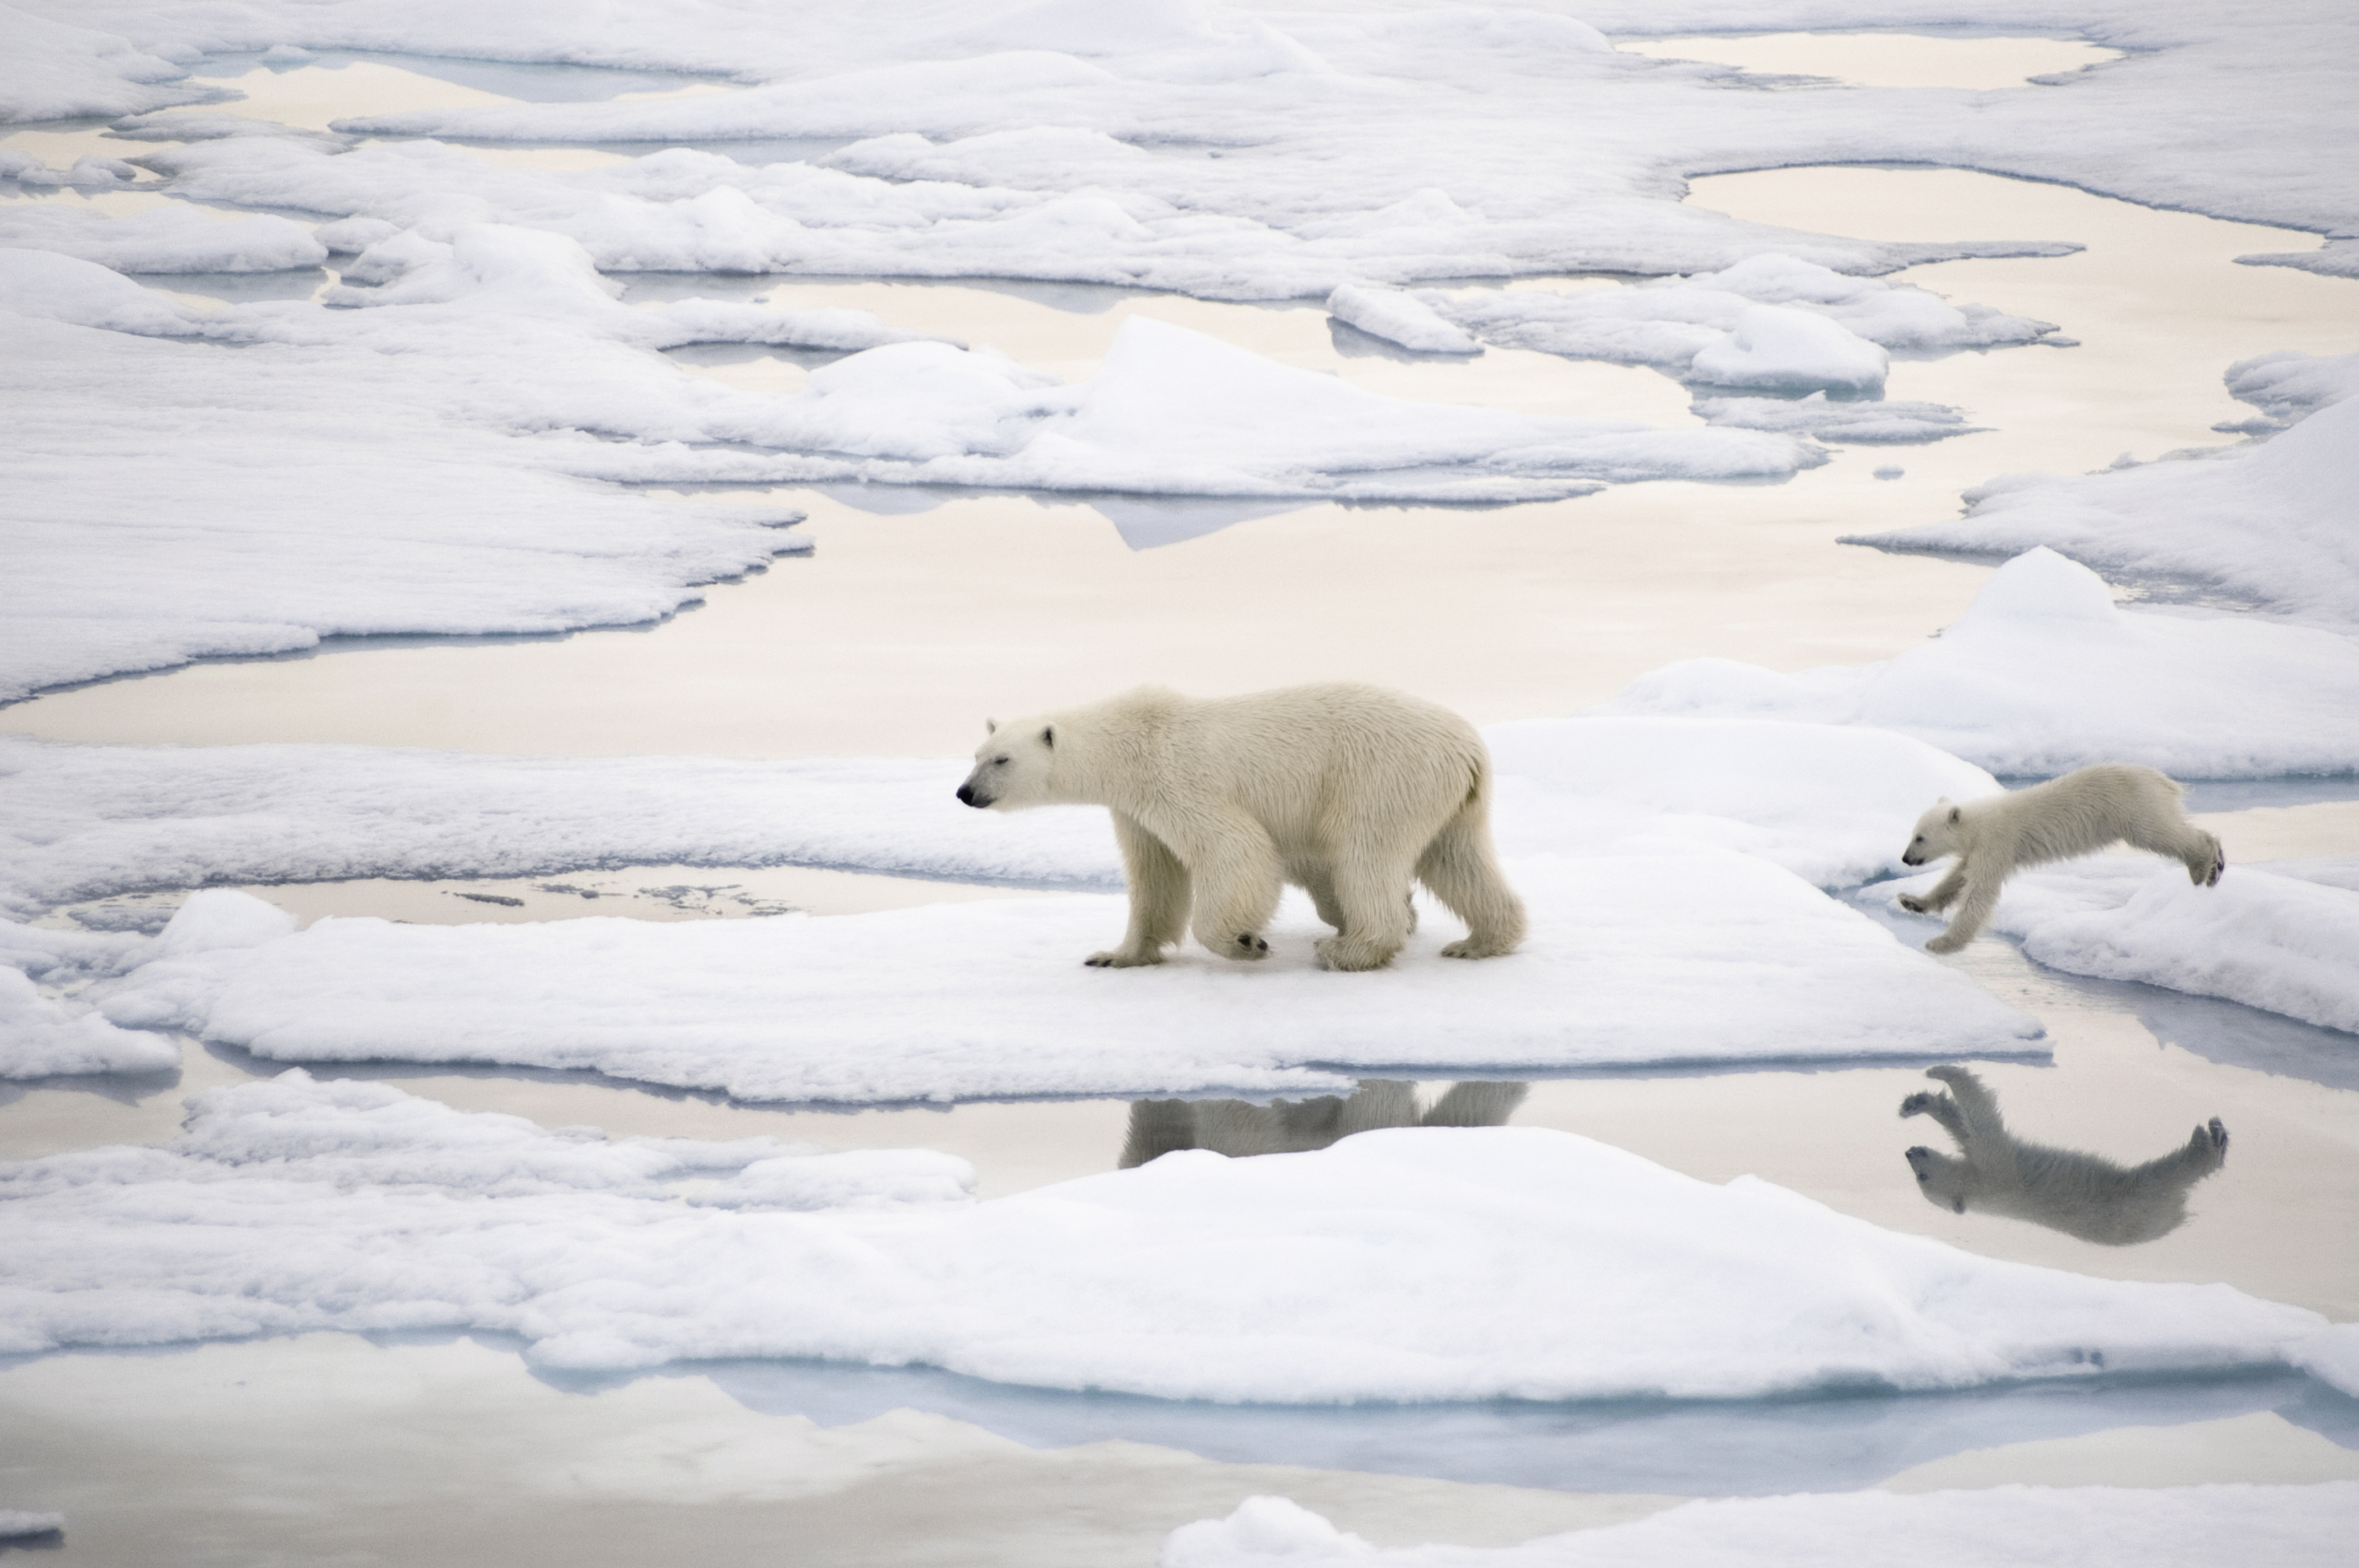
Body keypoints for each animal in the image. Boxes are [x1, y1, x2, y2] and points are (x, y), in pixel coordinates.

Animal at [957, 684, 1528, 966]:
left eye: (1002, 760)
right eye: (976, 754)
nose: (965, 793)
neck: (1129, 742)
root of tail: (1469, 747)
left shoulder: (1177, 779)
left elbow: (1235, 850)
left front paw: (1243, 942)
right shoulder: (1136, 811)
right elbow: (1154, 877)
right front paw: (1115, 955)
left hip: (1381, 778)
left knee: (1366, 854)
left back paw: (1348, 949)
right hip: (1448, 799)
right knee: (1458, 859)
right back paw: (1479, 942)